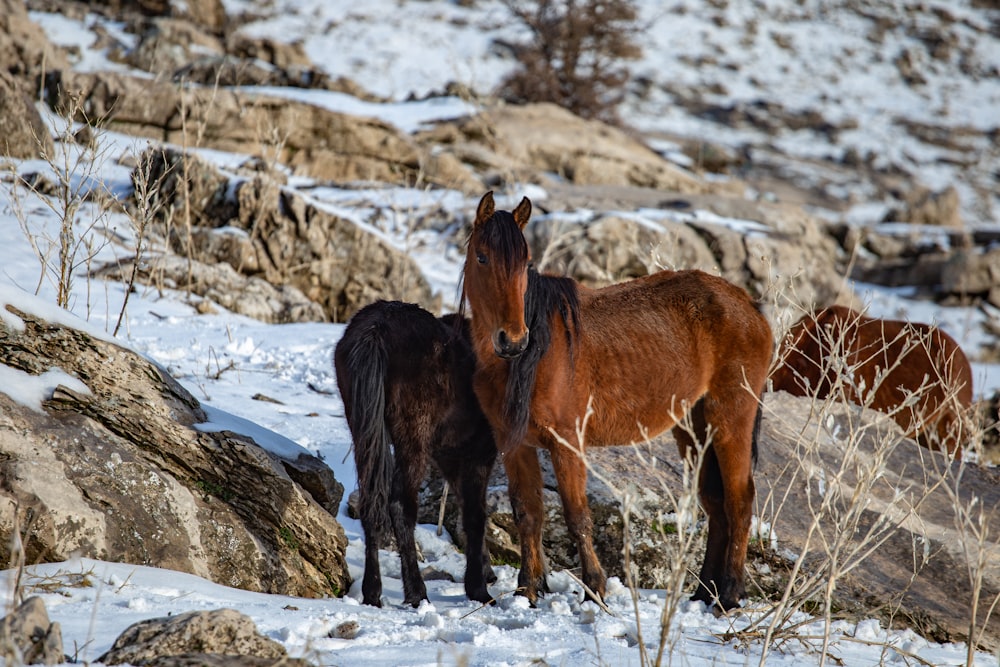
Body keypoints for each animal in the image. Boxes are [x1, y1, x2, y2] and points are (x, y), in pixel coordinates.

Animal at [334, 302, 498, 612]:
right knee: (400, 505)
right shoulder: (479, 453)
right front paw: (479, 588)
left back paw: (372, 592)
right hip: (413, 435)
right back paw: (416, 592)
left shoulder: (450, 457)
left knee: (371, 502)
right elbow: (476, 514)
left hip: (363, 427)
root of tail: (375, 331)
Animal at [460, 190, 772, 612]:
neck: (525, 360)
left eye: (525, 263)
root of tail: (749, 305)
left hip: (730, 421)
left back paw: (730, 594)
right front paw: (528, 589)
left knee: (740, 502)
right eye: (482, 257)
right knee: (716, 505)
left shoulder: (567, 443)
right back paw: (703, 591)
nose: (513, 339)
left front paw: (594, 588)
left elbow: (577, 516)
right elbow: (528, 513)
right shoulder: (516, 445)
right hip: (694, 429)